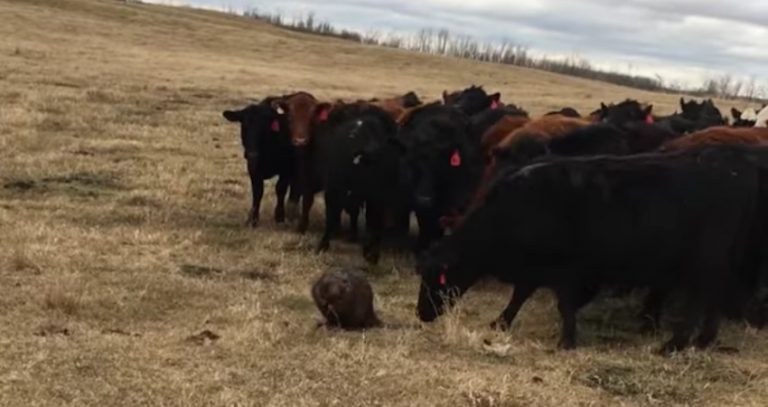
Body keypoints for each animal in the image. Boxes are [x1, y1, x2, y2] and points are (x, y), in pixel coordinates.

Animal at [222, 98, 298, 227]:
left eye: (264, 127)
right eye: (244, 125)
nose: (252, 154)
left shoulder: (287, 168)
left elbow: (280, 189)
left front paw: (279, 216)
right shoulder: (253, 167)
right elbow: (258, 191)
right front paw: (253, 219)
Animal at [417, 146, 761, 354]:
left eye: (437, 278)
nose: (422, 314)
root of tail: (732, 171)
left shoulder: (566, 270)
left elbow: (563, 305)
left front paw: (566, 340)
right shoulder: (537, 268)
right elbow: (520, 295)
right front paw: (500, 322)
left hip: (702, 263)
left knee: (698, 301)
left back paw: (674, 344)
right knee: (713, 298)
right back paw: (703, 340)